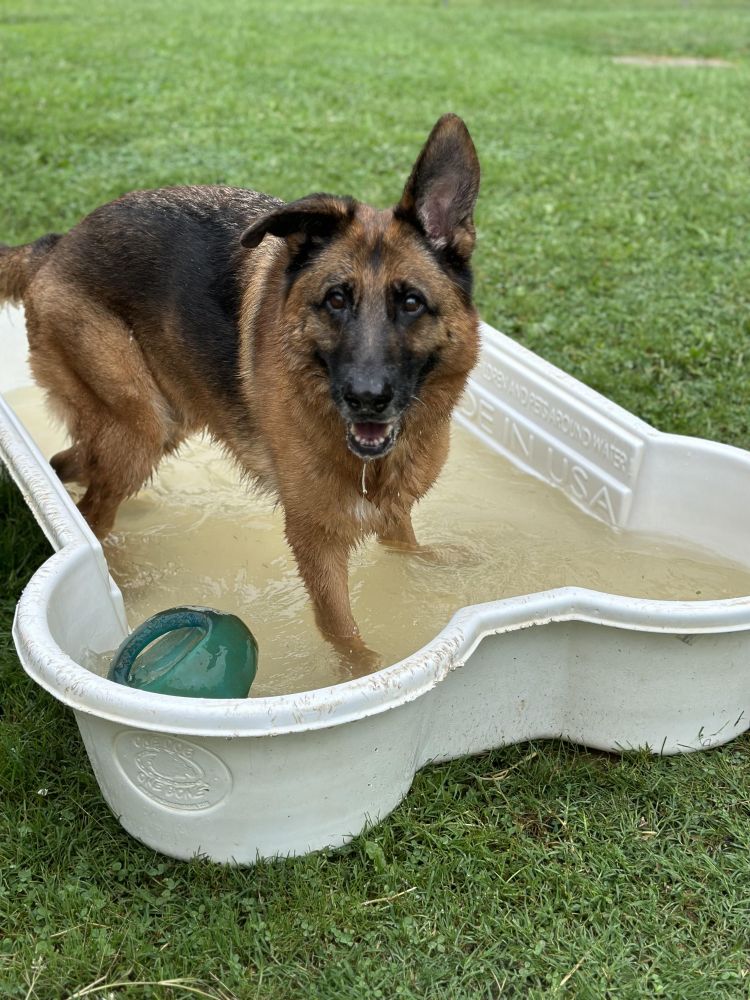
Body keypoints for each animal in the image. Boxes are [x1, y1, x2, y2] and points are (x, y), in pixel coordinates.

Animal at [0, 113, 482, 668]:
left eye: (411, 303)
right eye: (336, 300)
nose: (365, 397)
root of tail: (56, 243)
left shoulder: (391, 509)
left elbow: (406, 548)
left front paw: (430, 565)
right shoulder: (314, 540)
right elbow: (340, 628)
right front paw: (359, 670)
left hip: (162, 423)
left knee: (71, 463)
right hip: (139, 424)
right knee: (92, 506)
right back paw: (122, 575)